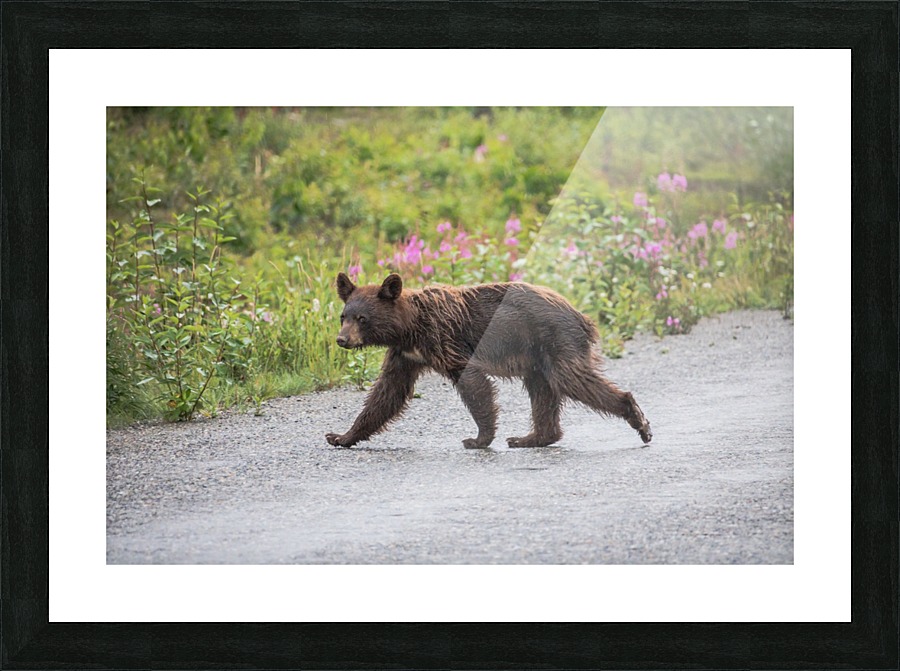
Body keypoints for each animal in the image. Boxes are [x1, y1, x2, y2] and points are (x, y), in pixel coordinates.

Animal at [325, 272, 652, 449]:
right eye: (343, 316)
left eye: (362, 318)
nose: (342, 339)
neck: (410, 329)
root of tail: (581, 315)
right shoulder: (405, 356)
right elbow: (387, 393)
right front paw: (340, 436)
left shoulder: (444, 340)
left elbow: (472, 382)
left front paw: (477, 438)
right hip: (536, 356)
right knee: (543, 391)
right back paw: (530, 437)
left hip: (554, 339)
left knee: (572, 379)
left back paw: (638, 419)